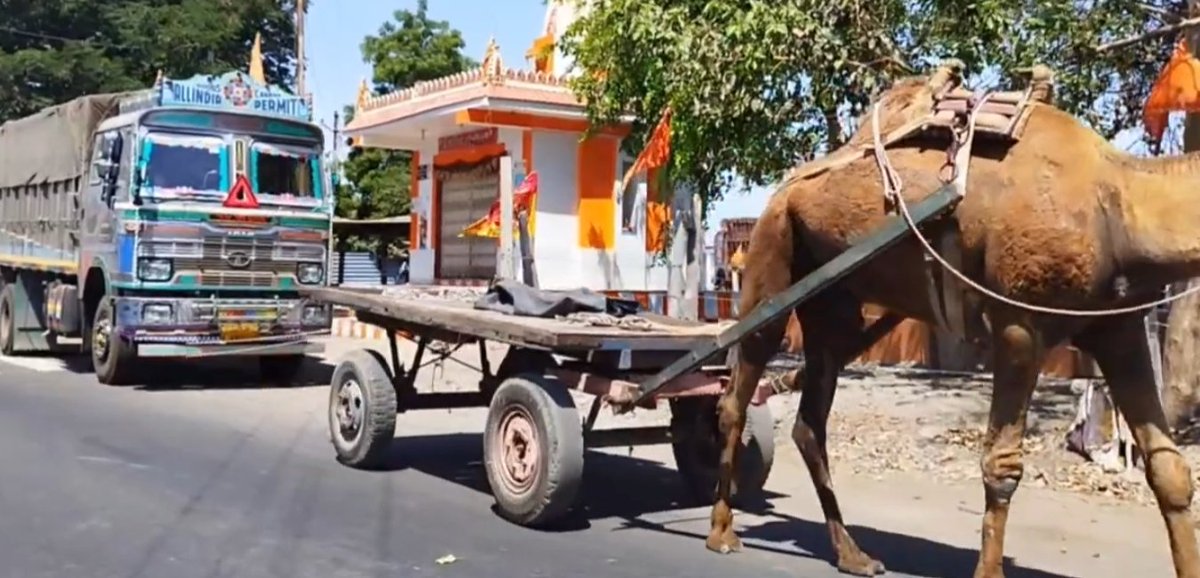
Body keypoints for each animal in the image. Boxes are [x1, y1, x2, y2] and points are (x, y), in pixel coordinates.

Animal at [705, 59, 1200, 578]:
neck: (1119, 205)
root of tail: (784, 188)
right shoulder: (1019, 325)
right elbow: (1002, 465)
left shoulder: (1117, 327)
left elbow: (1170, 470)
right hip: (773, 248)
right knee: (739, 389)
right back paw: (722, 532)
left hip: (832, 298)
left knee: (810, 421)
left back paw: (853, 554)